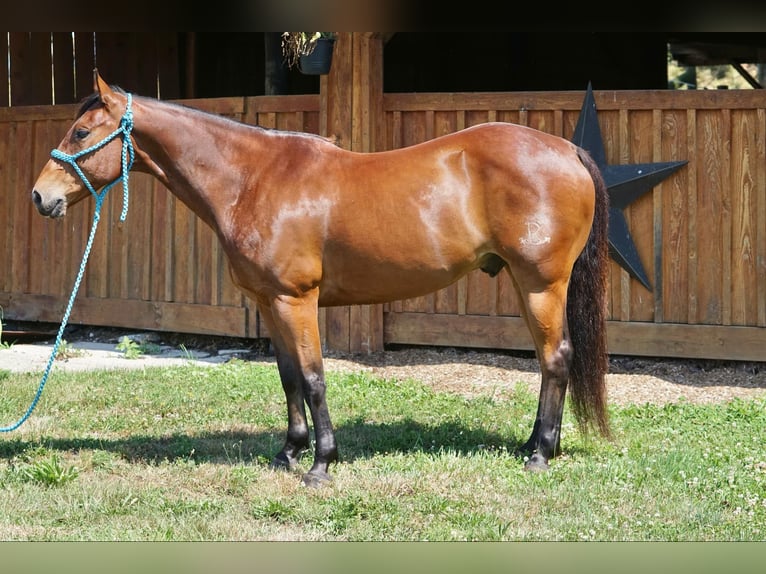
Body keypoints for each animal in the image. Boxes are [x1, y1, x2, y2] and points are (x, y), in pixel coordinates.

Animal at [31, 71, 612, 486]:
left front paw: (322, 465)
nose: (40, 197)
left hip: (540, 285)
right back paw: (533, 446)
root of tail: (567, 150)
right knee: (549, 361)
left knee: (556, 358)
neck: (252, 179)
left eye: (81, 132)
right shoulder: (268, 302)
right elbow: (289, 377)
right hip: (526, 283)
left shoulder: (297, 300)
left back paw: (540, 455)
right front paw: (288, 452)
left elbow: (313, 378)